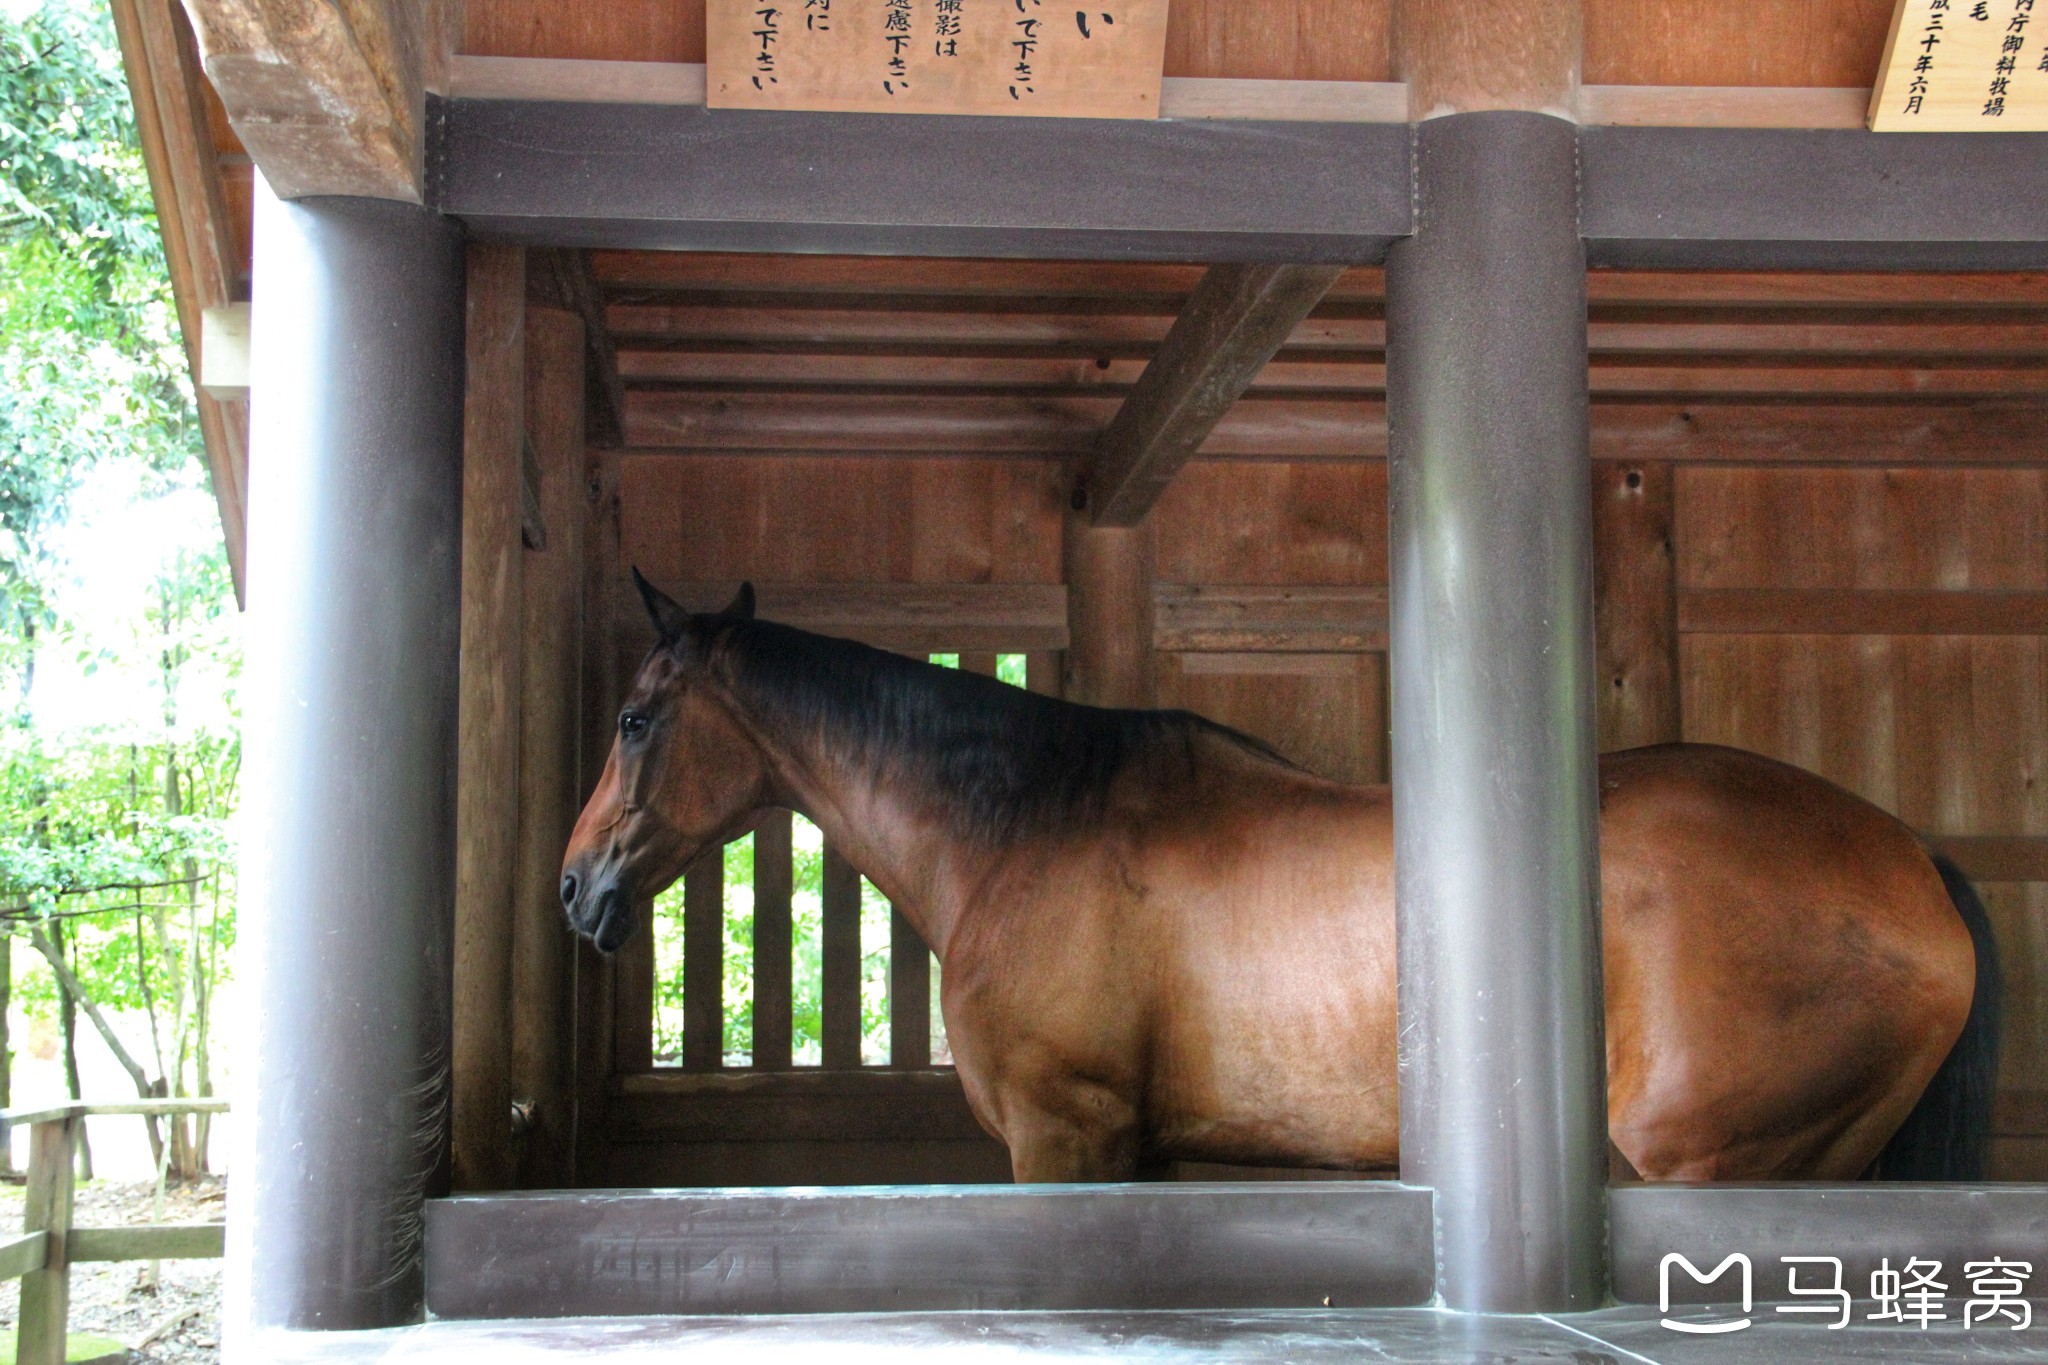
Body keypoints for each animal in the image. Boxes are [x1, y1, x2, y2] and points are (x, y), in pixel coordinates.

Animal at [561, 581, 1998, 1186]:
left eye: (635, 717)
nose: (576, 888)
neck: (1026, 830)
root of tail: (1909, 862)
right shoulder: (1134, 1154)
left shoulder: (1062, 1139)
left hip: (1716, 1163)